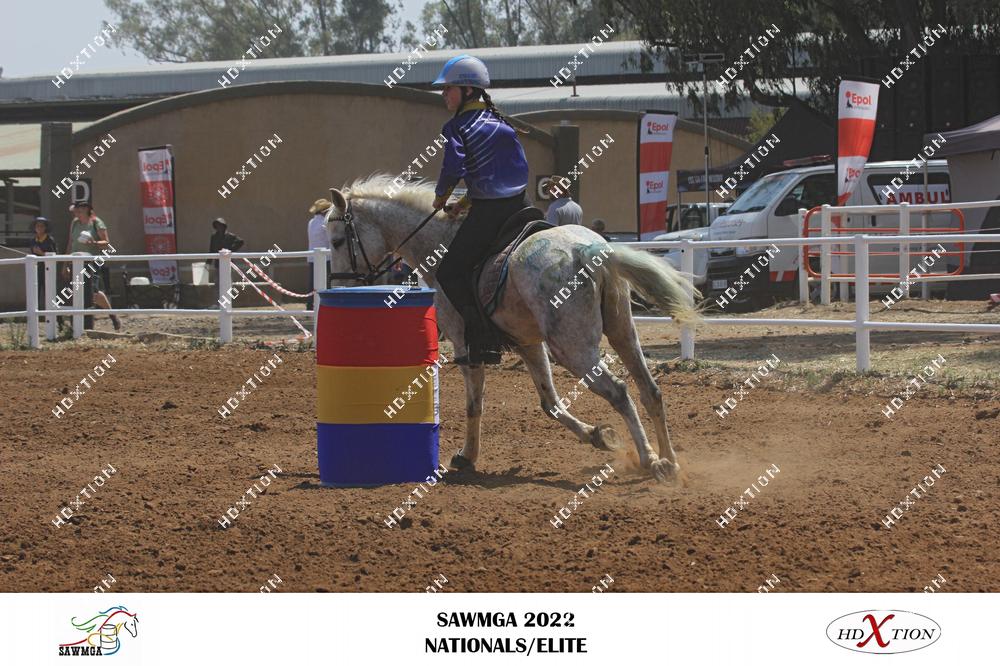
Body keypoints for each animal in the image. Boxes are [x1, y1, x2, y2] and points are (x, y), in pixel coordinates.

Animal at [324, 175, 698, 482]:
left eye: (339, 240)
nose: (340, 285)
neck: (440, 241)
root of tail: (587, 250)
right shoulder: (528, 343)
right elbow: (550, 403)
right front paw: (596, 435)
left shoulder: (465, 344)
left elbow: (474, 404)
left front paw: (467, 456)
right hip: (622, 333)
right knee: (650, 390)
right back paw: (669, 460)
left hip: (573, 348)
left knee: (619, 392)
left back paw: (650, 460)